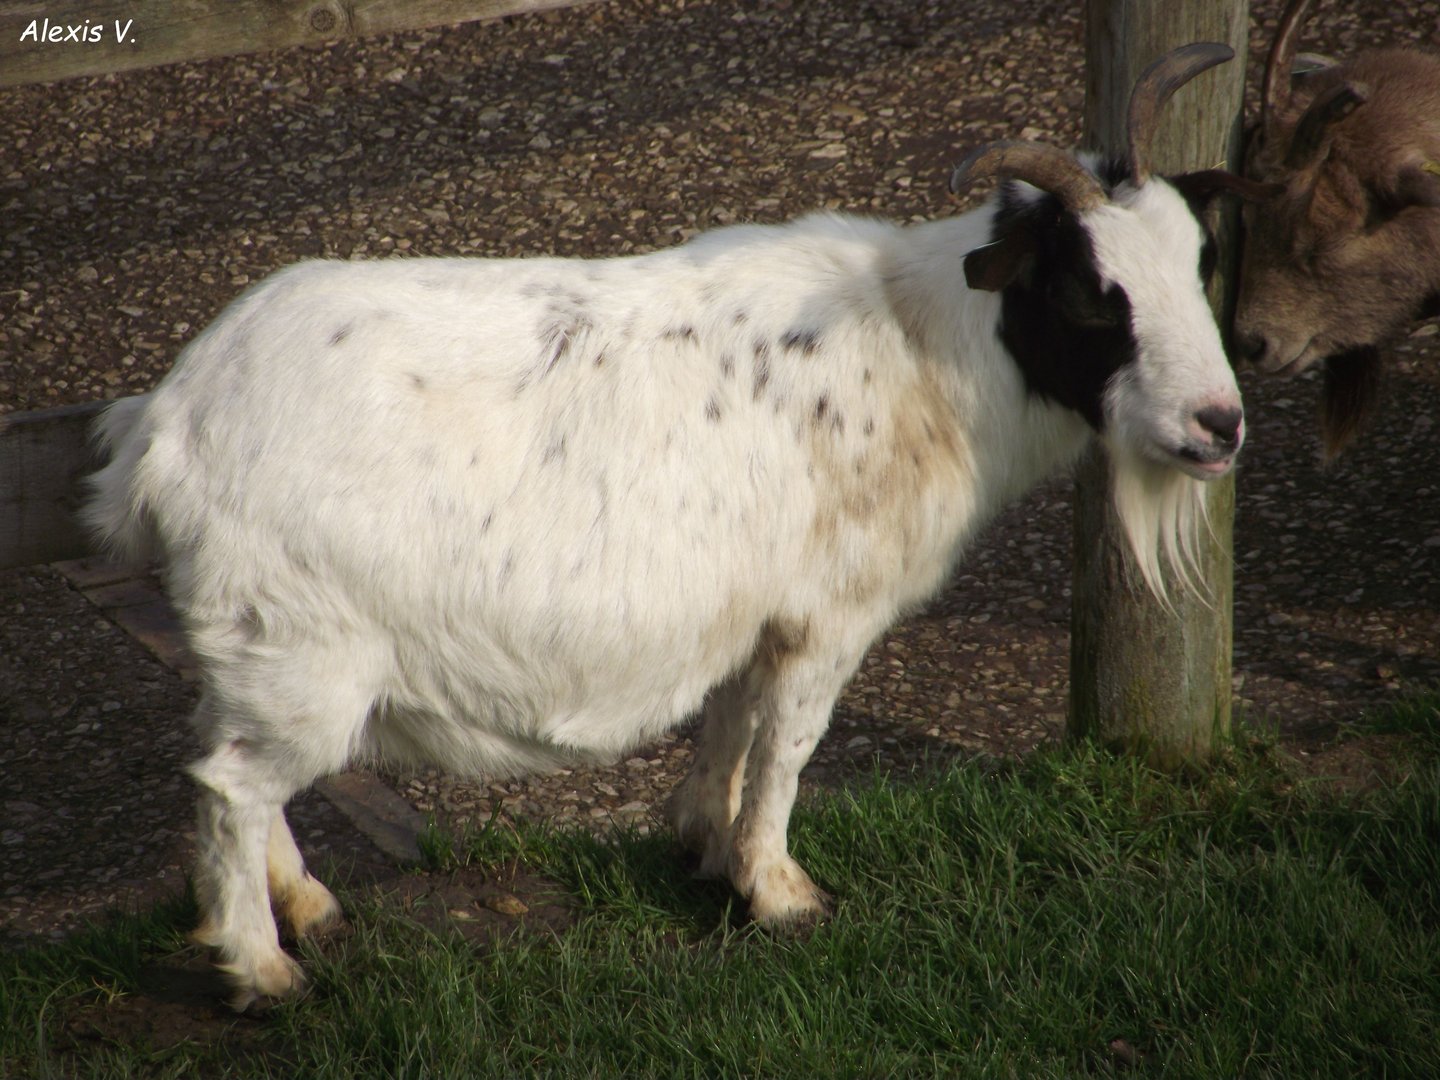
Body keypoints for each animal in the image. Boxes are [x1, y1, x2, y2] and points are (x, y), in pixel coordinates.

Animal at [84, 43, 1244, 1010]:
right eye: (1093, 291)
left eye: (1201, 264)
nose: (1218, 425)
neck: (928, 351)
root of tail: (169, 424)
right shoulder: (829, 617)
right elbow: (790, 745)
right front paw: (782, 894)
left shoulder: (753, 611)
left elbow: (731, 721)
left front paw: (703, 849)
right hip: (306, 655)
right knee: (230, 786)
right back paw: (261, 967)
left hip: (253, 646)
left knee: (218, 753)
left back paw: (308, 905)